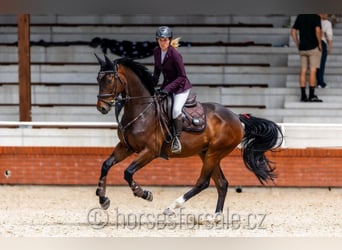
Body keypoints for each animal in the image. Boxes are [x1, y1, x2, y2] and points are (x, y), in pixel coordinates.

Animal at [93, 54, 284, 217]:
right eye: (97, 79)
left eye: (109, 79)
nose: (102, 107)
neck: (141, 110)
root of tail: (237, 118)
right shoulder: (126, 147)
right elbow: (105, 165)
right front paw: (103, 199)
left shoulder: (150, 151)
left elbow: (128, 172)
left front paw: (144, 193)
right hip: (206, 153)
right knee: (221, 183)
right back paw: (216, 217)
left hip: (214, 153)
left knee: (203, 182)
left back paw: (172, 207)